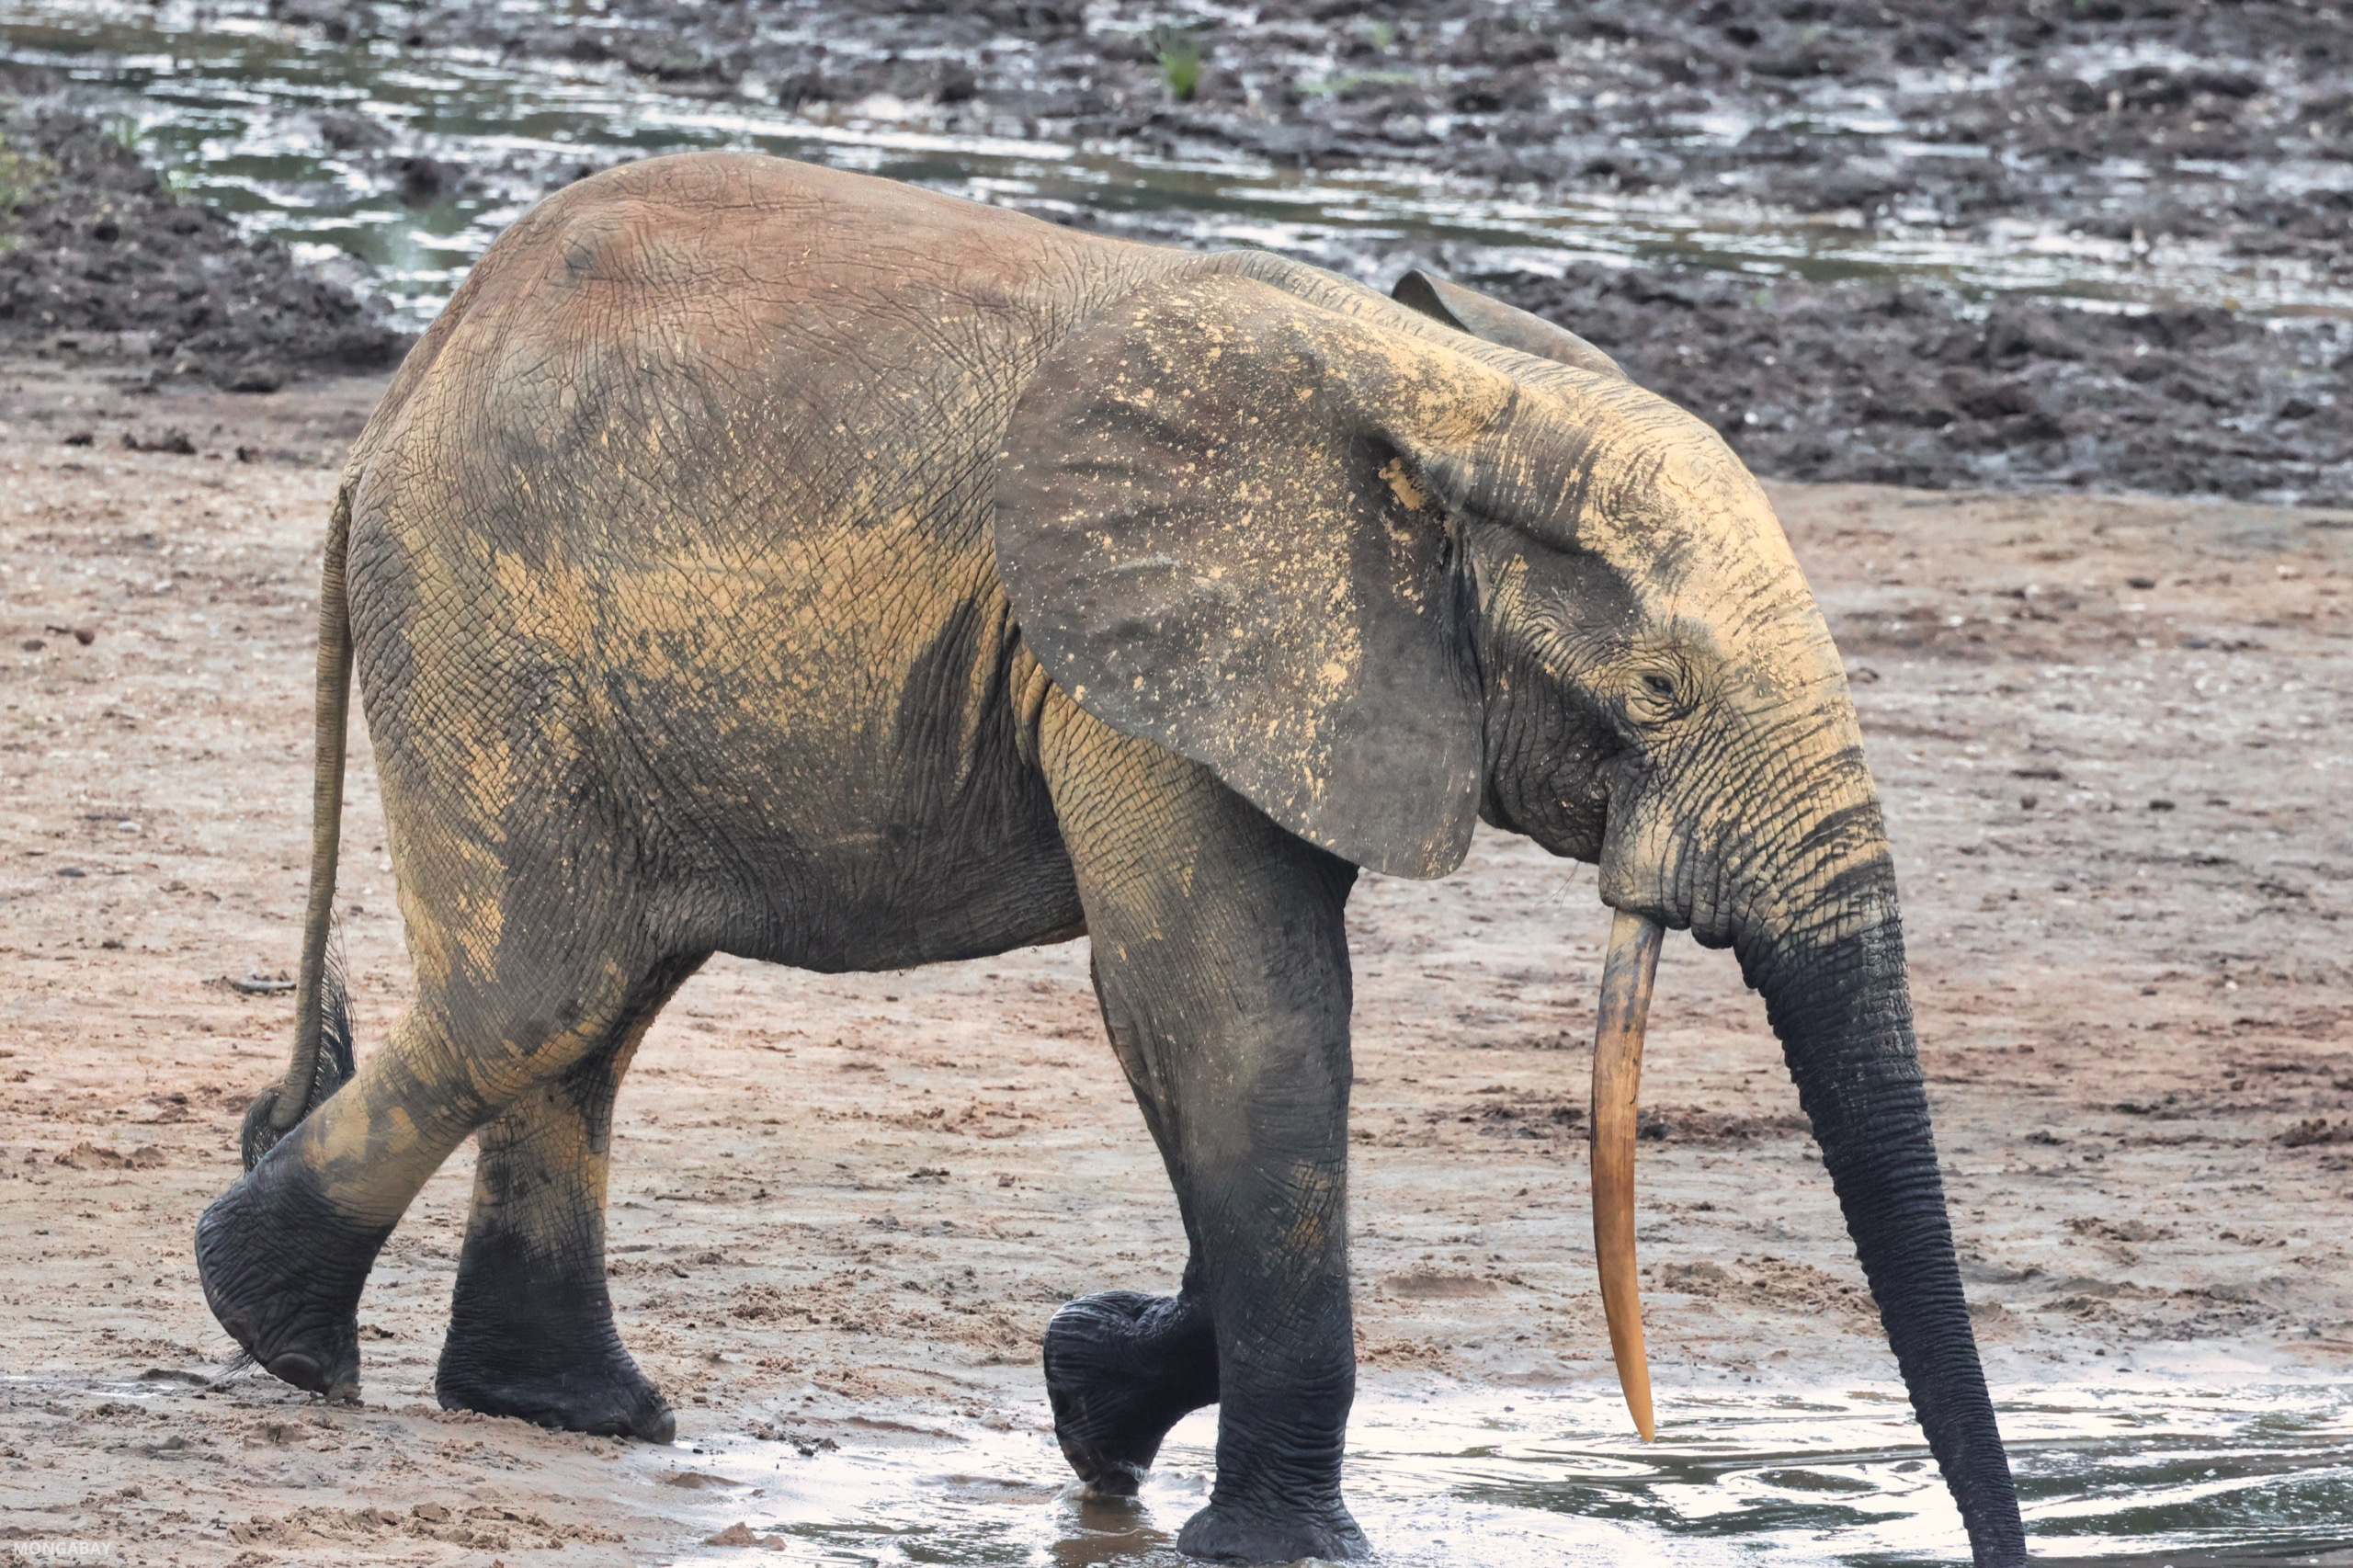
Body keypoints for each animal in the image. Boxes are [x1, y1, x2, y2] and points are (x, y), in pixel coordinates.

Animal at [194, 153, 2026, 1565]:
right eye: (1658, 694)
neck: (1451, 399)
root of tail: (405, 390)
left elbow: (1232, 1032)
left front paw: (1091, 1387)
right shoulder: (1126, 661)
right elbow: (1230, 1001)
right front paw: (1283, 1544)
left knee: (594, 1008)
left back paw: (560, 1410)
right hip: (488, 612)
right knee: (544, 989)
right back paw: (274, 1331)